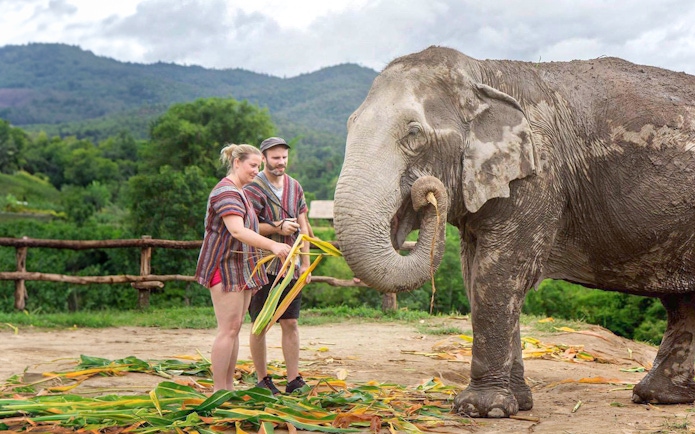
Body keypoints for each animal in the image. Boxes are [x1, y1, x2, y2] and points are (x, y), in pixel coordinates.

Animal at [333, 46, 695, 418]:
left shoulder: (539, 175)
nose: (426, 193)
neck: (483, 73)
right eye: (350, 123)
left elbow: (499, 273)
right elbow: (474, 274)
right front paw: (516, 404)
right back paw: (657, 396)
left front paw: (480, 409)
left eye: (414, 134)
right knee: (682, 303)